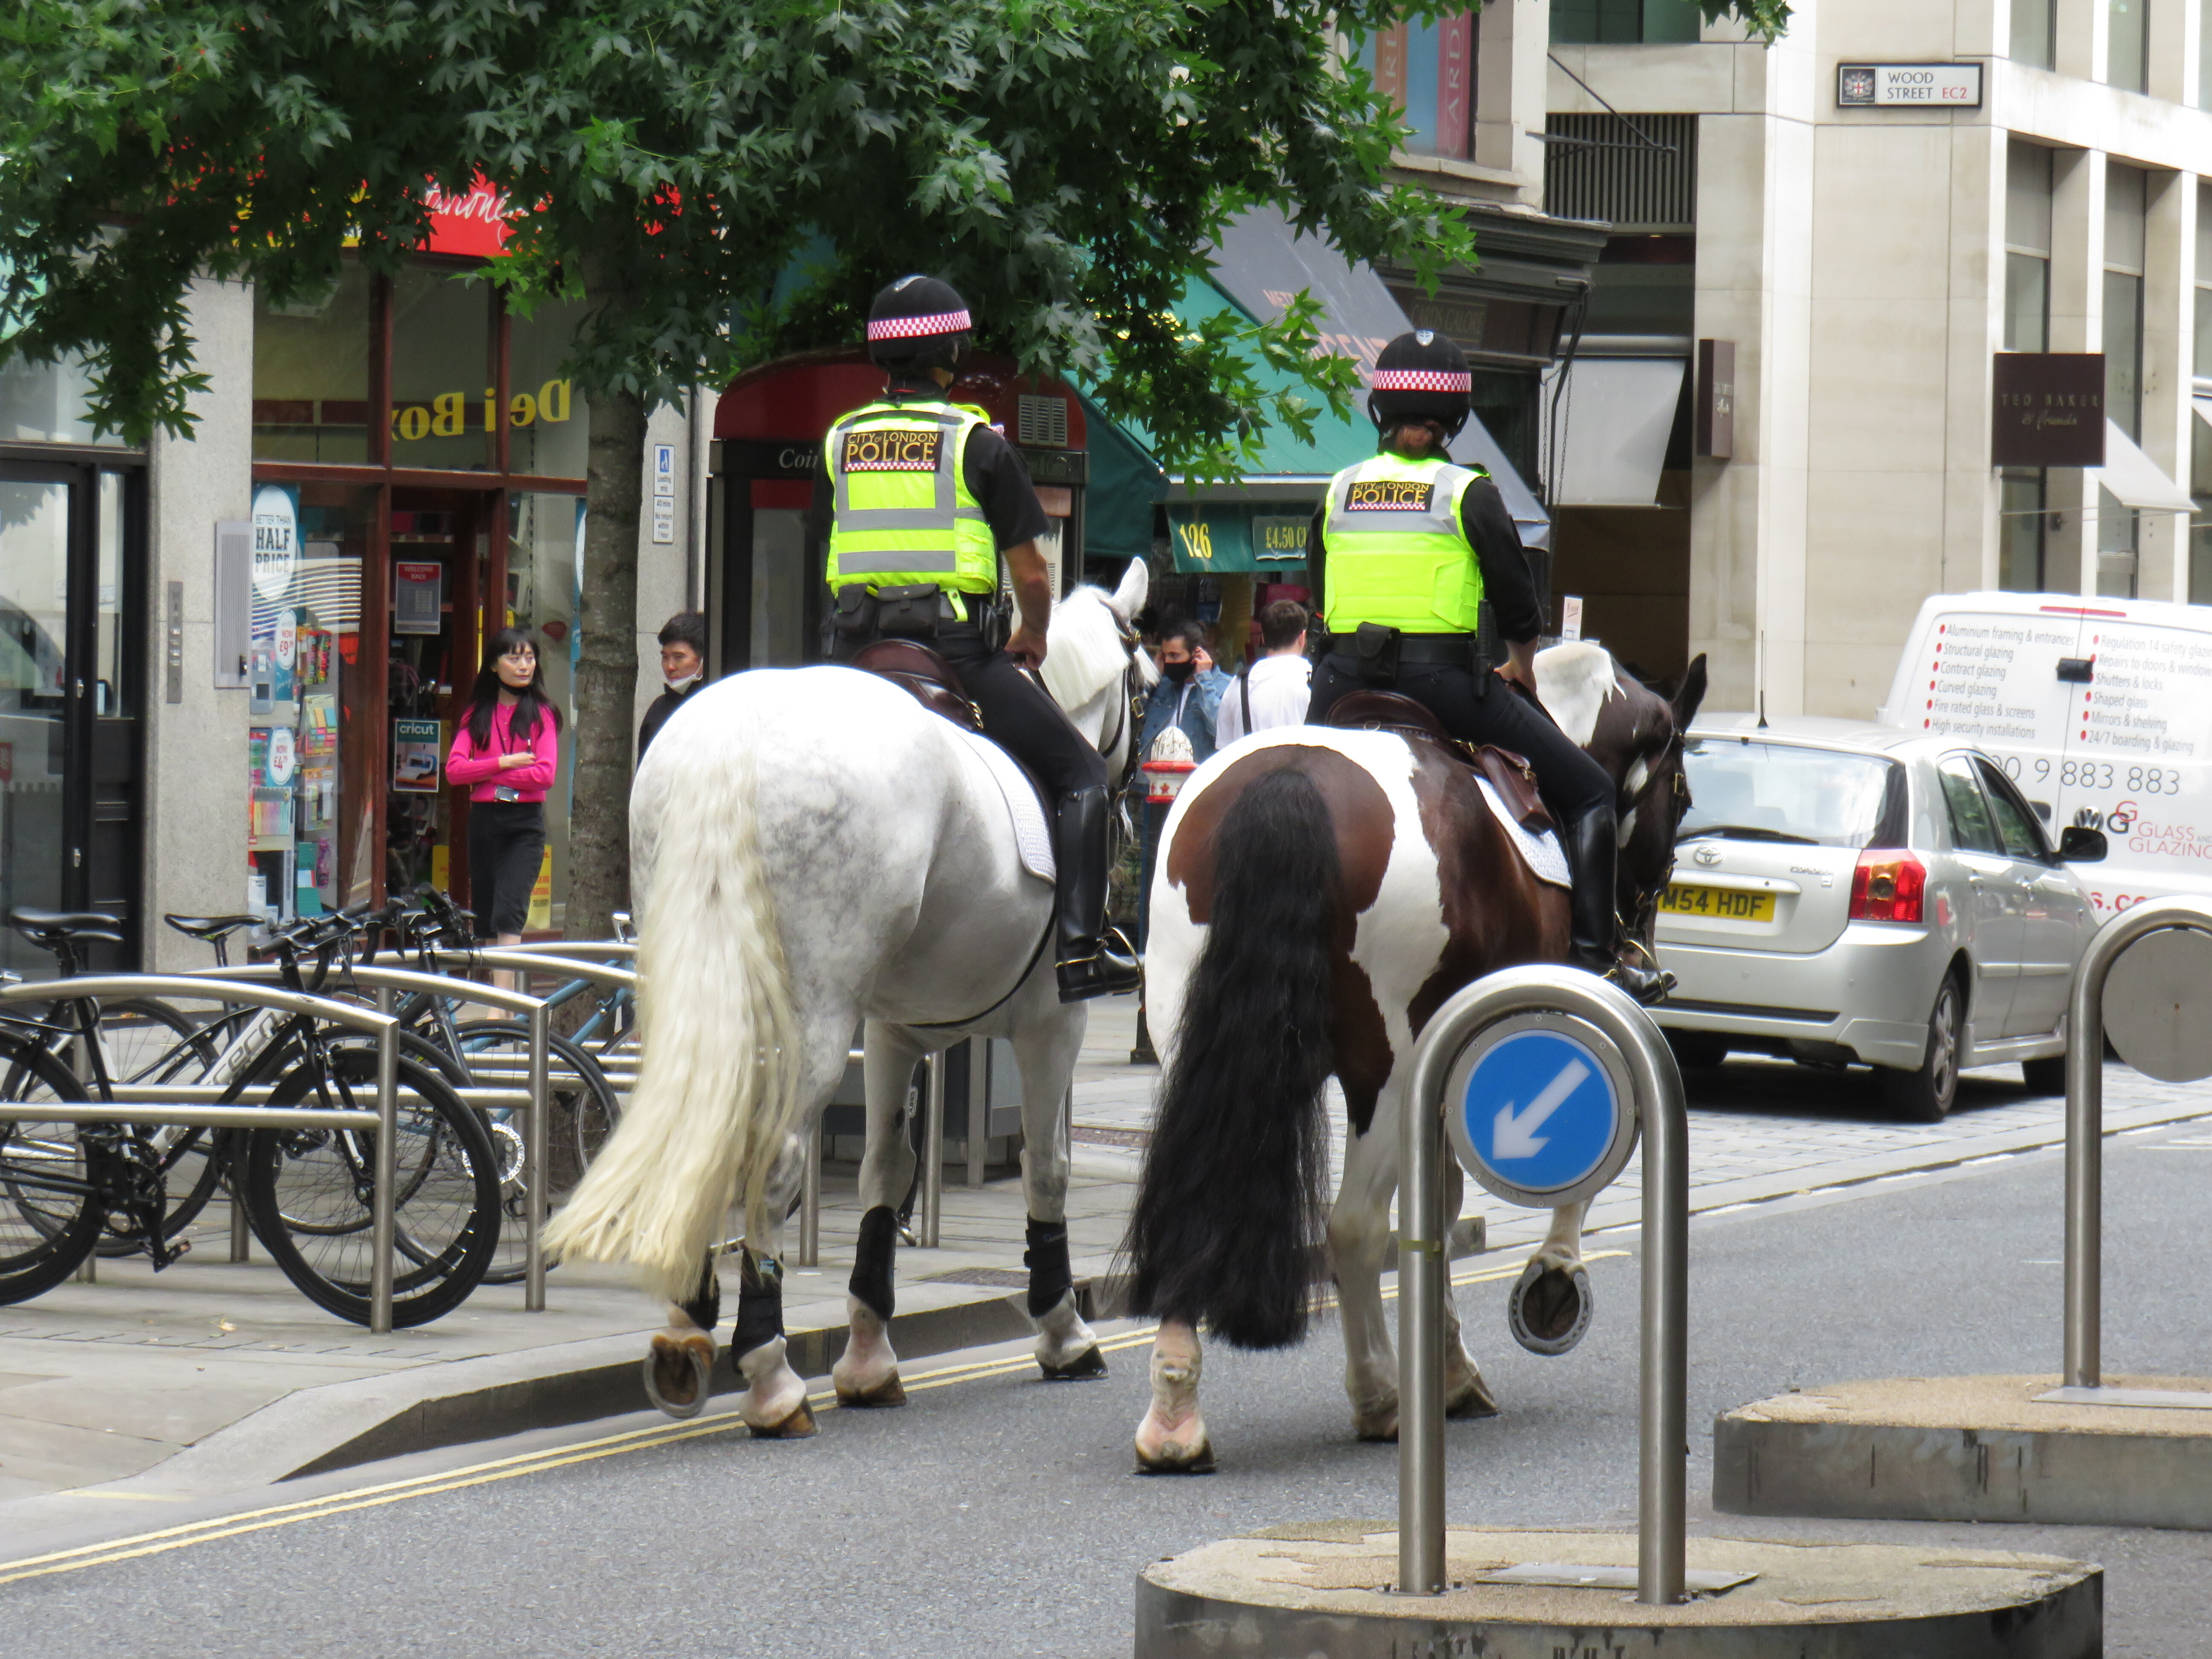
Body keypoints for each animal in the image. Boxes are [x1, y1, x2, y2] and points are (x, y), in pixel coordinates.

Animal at [544, 560, 1156, 1436]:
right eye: (1147, 687)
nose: (1133, 819)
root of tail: (731, 738)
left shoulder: (894, 1029)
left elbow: (884, 1171)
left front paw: (869, 1353)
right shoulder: (1052, 1023)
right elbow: (1048, 1168)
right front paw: (1063, 1329)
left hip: (704, 988)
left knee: (701, 1125)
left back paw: (687, 1330)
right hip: (815, 1017)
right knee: (773, 1157)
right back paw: (768, 1373)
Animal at [1123, 641, 1706, 1470]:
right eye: (1681, 799)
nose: (1642, 954)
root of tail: (1287, 779)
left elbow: (1443, 1201)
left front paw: (1454, 1362)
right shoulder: (1522, 1027)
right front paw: (1547, 1282)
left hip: (1190, 1039)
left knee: (1191, 1193)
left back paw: (1174, 1417)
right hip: (1386, 1071)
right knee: (1354, 1228)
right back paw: (1379, 1396)